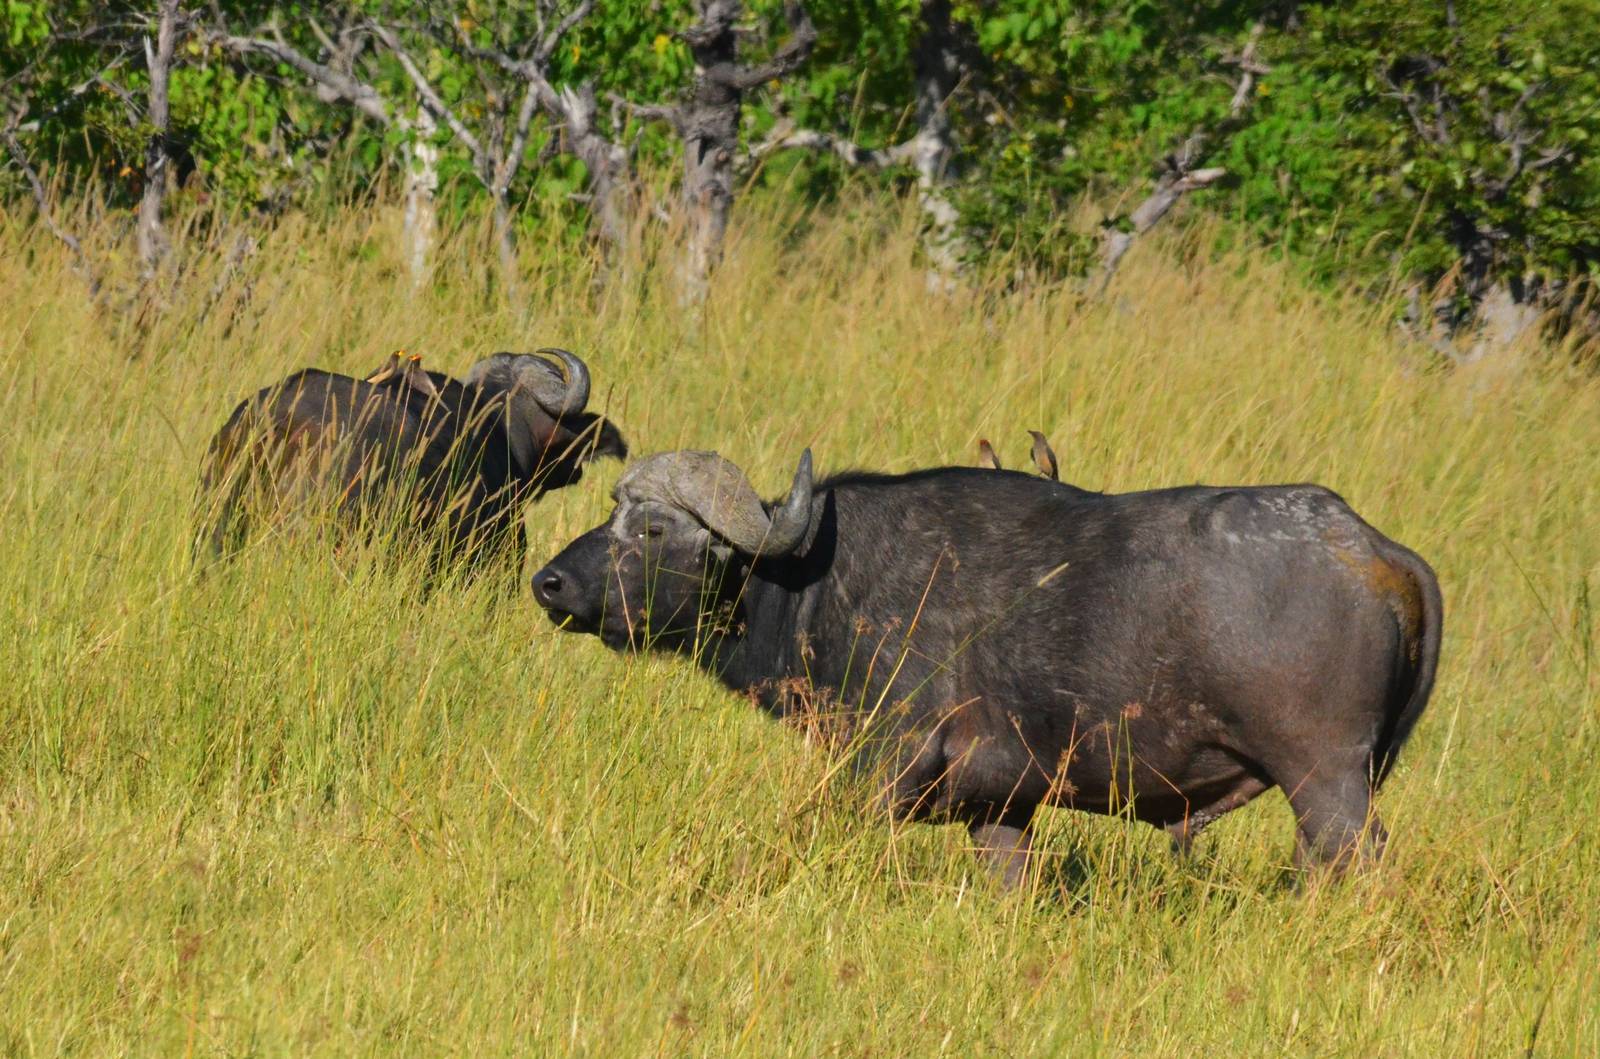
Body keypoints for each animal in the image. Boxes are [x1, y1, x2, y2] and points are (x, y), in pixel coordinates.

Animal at [532, 449, 1442, 888]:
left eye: (651, 529)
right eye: (611, 511)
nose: (550, 582)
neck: (819, 574)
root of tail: (1371, 548)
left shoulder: (883, 767)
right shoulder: (1000, 810)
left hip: (1327, 784)